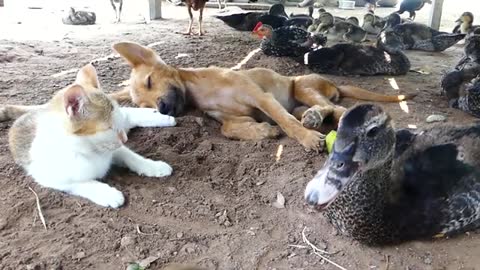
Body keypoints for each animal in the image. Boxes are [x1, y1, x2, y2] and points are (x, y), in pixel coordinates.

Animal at [7, 64, 175, 208]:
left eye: (115, 124)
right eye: (109, 128)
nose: (124, 139)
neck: (89, 150)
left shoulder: (115, 148)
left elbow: (131, 156)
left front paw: (153, 166)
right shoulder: (50, 177)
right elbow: (82, 183)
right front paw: (107, 193)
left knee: (129, 113)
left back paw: (162, 117)